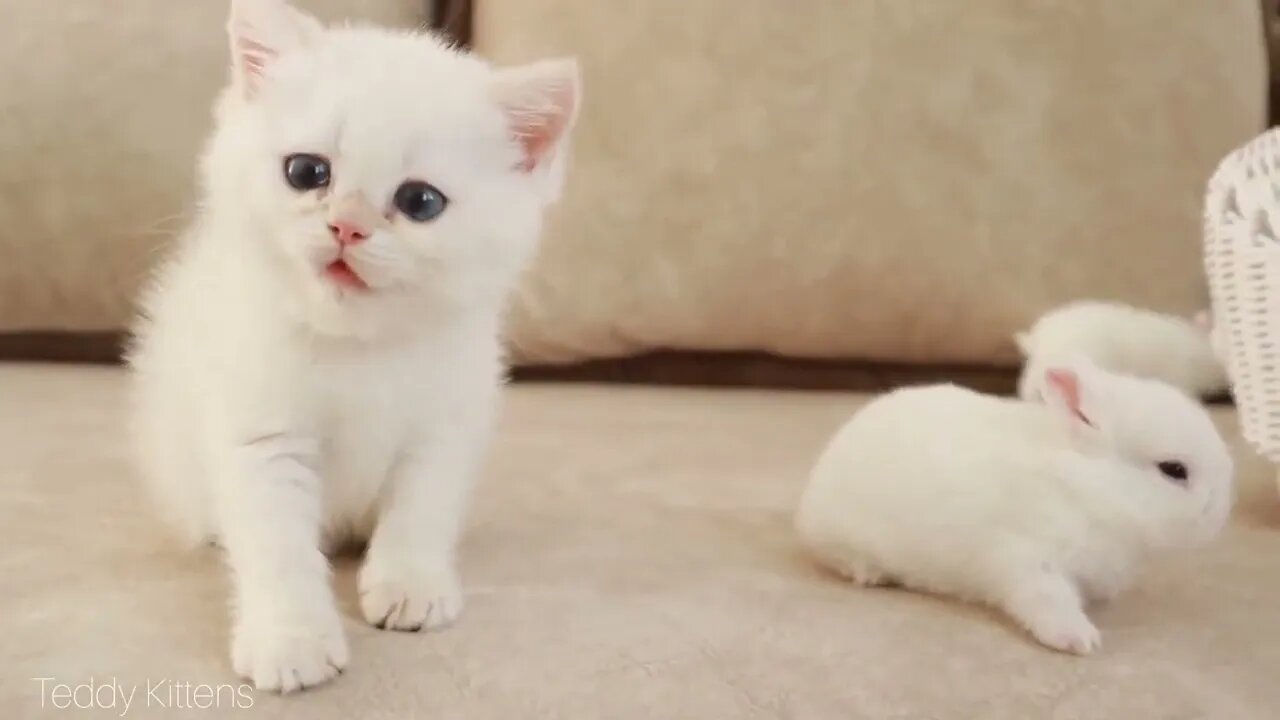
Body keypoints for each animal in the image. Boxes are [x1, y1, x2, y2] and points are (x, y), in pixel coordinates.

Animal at [127, 1, 578, 696]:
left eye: (420, 201)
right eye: (307, 172)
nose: (347, 225)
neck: (359, 348)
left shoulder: (447, 424)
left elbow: (422, 507)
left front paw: (411, 582)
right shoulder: (259, 431)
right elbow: (277, 544)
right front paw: (290, 637)